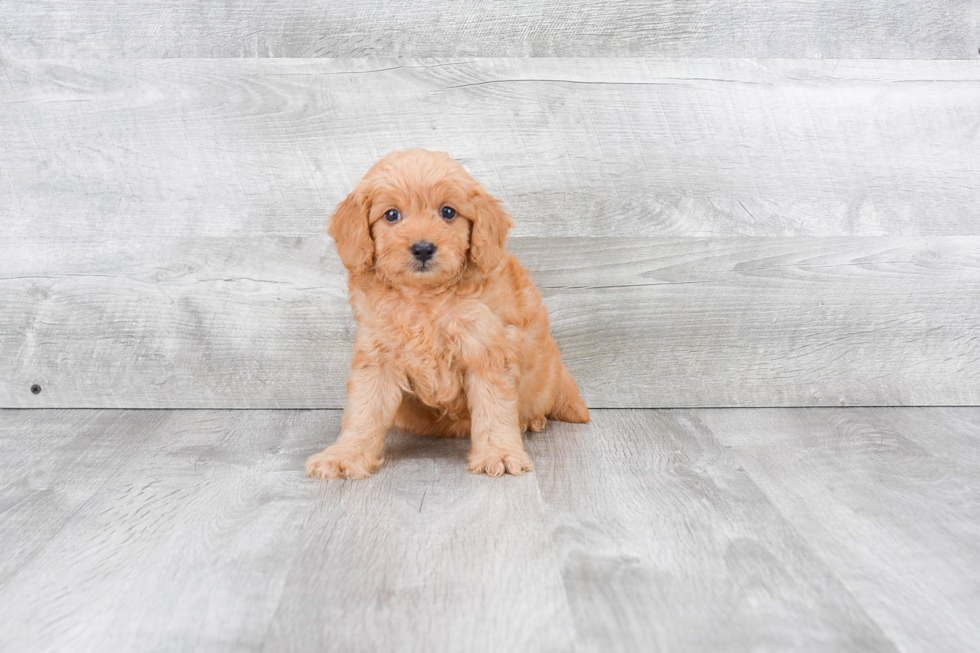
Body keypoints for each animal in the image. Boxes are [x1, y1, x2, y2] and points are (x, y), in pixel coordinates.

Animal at [302, 149, 584, 478]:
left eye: (448, 212)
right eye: (391, 215)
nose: (423, 248)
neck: (425, 297)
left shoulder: (486, 351)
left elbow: (494, 408)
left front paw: (499, 453)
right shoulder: (377, 355)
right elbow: (364, 411)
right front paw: (344, 455)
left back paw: (530, 419)